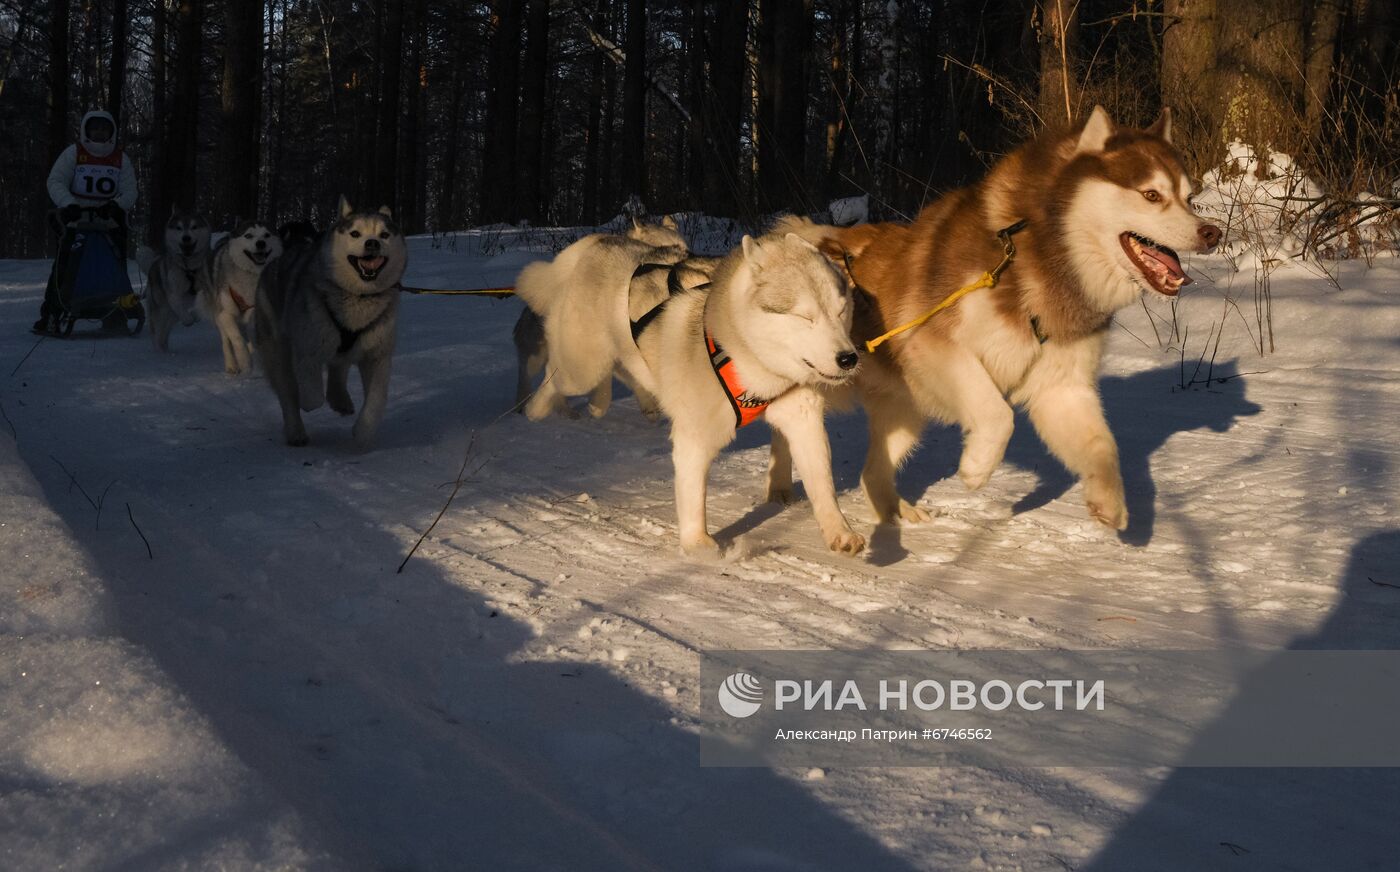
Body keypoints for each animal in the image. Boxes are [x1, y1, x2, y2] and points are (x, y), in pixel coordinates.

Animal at [198, 219, 282, 372]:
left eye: (267, 235)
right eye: (248, 235)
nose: (261, 243)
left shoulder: (256, 311)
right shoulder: (225, 314)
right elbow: (236, 338)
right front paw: (245, 361)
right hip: (218, 314)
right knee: (226, 340)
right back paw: (231, 365)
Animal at [256, 197, 406, 450]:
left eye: (384, 235)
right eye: (355, 233)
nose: (372, 243)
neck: (359, 297)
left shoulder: (377, 355)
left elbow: (376, 400)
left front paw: (364, 433)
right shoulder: (307, 346)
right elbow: (311, 390)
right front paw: (310, 401)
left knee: (338, 367)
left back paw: (340, 400)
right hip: (278, 352)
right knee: (288, 392)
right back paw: (296, 431)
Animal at [784, 108, 1220, 531]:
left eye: (1189, 197)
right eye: (1151, 194)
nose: (1211, 233)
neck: (1041, 256)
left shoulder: (1062, 386)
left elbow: (1102, 446)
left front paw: (1108, 500)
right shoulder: (934, 342)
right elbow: (999, 415)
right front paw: (977, 467)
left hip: (904, 413)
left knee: (870, 474)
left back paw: (895, 513)